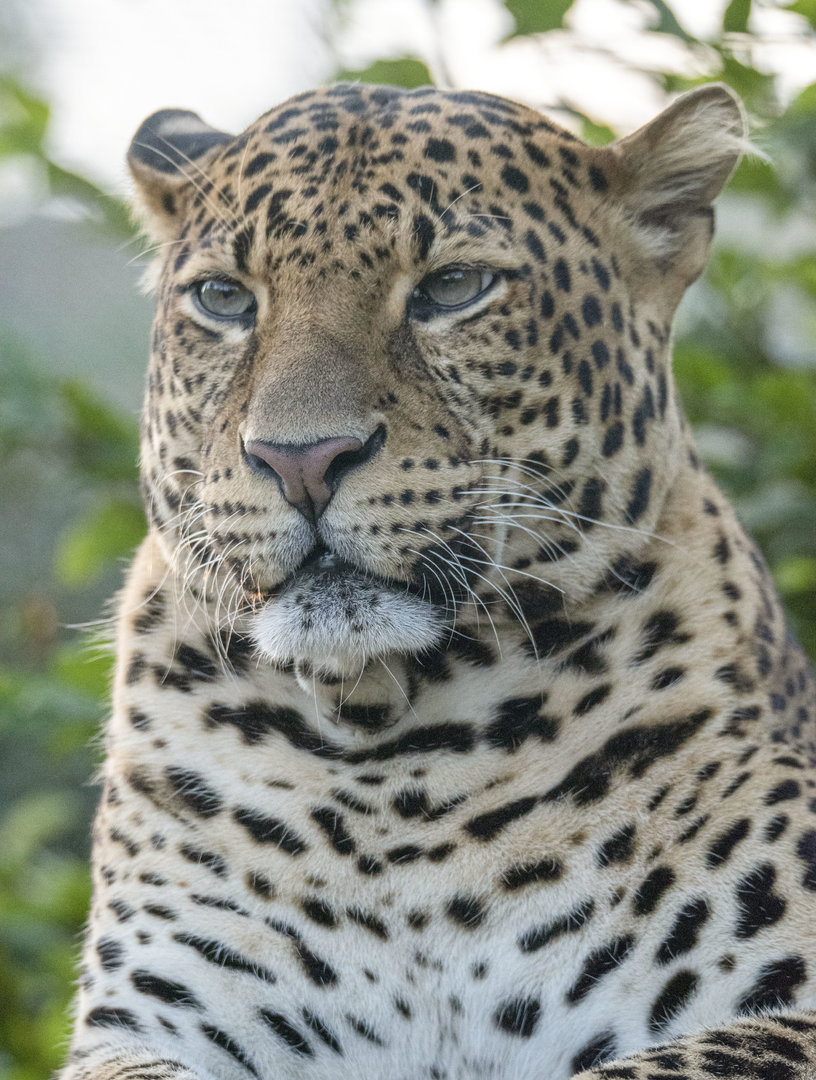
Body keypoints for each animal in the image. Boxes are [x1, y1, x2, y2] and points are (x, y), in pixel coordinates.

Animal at [59, 80, 816, 1080]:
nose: (301, 460)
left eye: (453, 287)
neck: (397, 774)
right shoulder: (145, 1023)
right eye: (223, 298)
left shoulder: (790, 999)